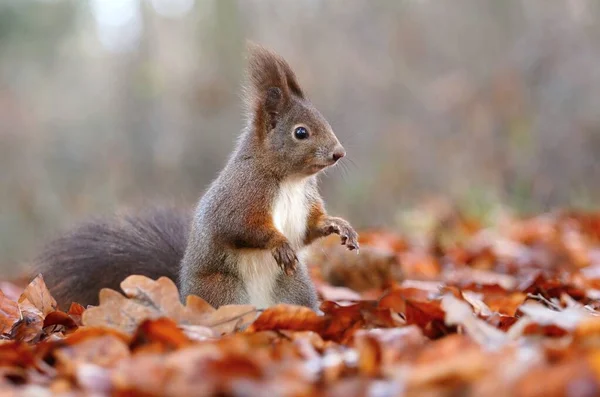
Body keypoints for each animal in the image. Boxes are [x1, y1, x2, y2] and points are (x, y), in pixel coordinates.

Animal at [32, 42, 358, 310]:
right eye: (300, 133)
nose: (339, 153)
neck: (290, 180)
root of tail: (182, 294)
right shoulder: (242, 194)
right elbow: (241, 226)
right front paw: (279, 243)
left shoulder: (305, 201)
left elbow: (309, 229)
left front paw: (338, 225)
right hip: (222, 288)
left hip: (294, 287)